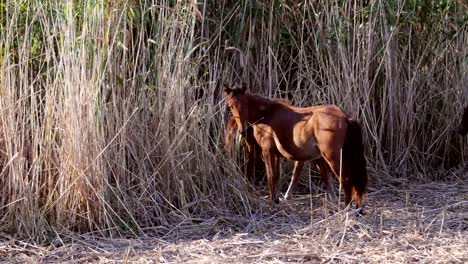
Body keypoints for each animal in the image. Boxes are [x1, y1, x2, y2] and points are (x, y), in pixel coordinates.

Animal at [225, 83, 368, 211]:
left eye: (245, 105)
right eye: (231, 106)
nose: (243, 131)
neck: (268, 114)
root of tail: (345, 117)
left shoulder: (267, 151)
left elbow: (270, 176)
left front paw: (272, 201)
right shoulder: (276, 154)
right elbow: (277, 176)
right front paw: (276, 199)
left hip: (332, 158)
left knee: (345, 179)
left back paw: (346, 209)